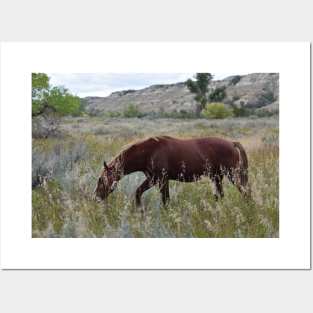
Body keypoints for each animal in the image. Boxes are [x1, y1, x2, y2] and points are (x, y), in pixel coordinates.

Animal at [93, 135, 249, 205]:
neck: (149, 152)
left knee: (245, 192)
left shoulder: (162, 180)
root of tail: (231, 143)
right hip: (217, 177)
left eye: (101, 180)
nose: (95, 198)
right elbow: (138, 193)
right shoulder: (153, 180)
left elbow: (165, 200)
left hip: (232, 175)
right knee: (221, 196)